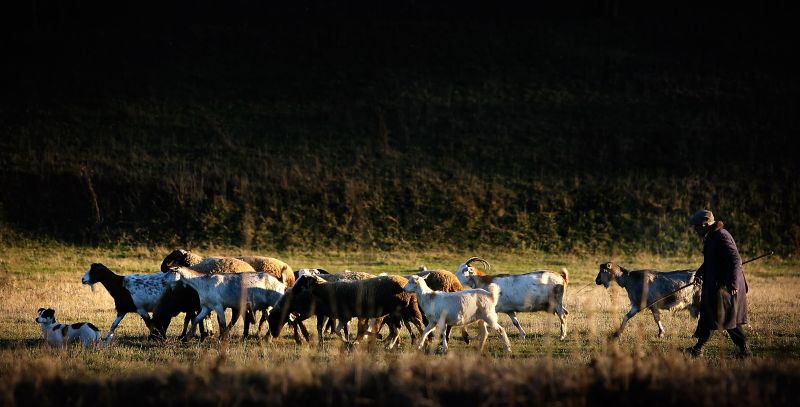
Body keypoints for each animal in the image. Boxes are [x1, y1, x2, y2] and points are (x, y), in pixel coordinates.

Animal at [268, 272, 422, 350]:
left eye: (273, 319)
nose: (274, 335)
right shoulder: (331, 314)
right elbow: (329, 329)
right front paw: (323, 342)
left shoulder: (332, 313)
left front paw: (301, 338)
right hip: (399, 311)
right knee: (403, 327)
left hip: (399, 311)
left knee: (407, 326)